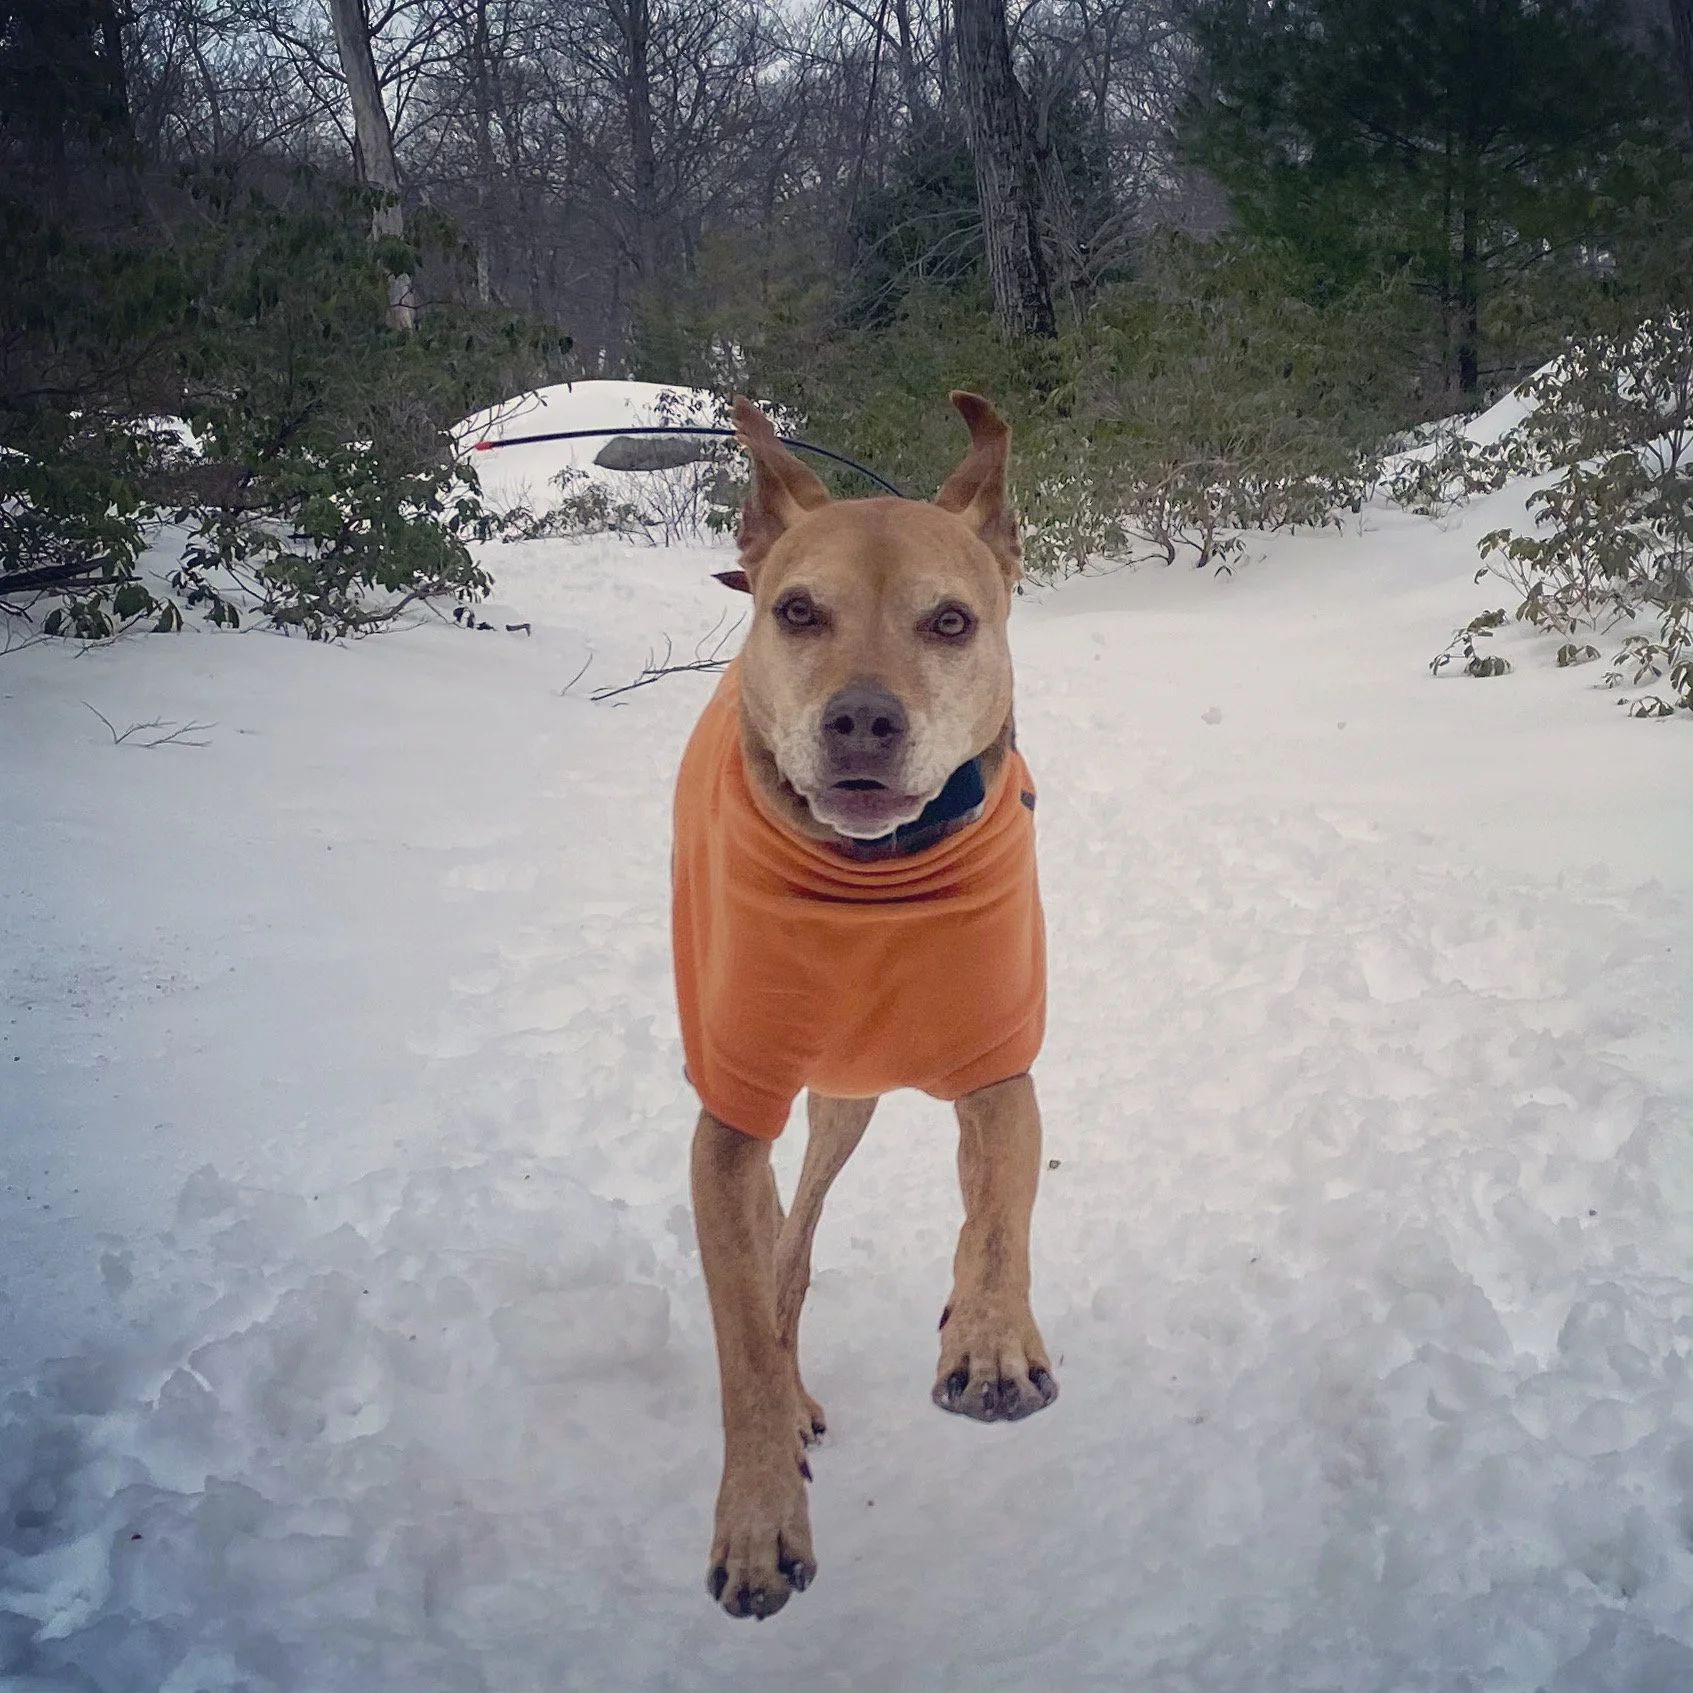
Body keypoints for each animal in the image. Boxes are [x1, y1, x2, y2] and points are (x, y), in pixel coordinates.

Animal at [673, 392, 1056, 1620]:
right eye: (799, 611)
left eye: (950, 621)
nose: (861, 723)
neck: (874, 882)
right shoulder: (728, 1121)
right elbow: (743, 1339)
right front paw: (757, 1516)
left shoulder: (999, 1067)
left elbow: (996, 1220)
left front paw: (990, 1338)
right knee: (781, 1257)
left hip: (851, 1095)